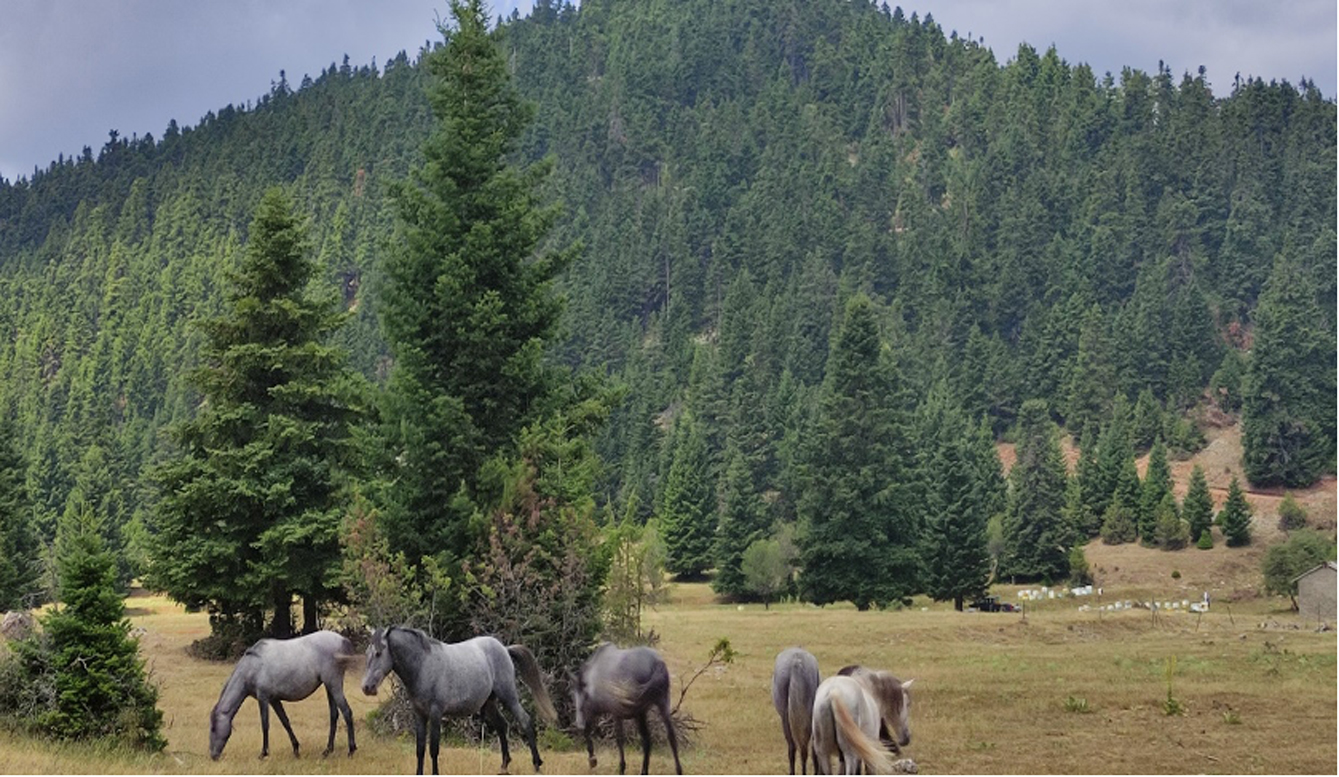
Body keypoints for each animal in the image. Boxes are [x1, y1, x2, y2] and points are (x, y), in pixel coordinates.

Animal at [207, 632, 358, 760]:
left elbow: (265, 724)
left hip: (334, 684)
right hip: (329, 686)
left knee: (346, 712)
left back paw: (351, 750)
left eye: (213, 728)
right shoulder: (274, 700)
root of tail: (342, 640)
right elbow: (285, 722)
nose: (213, 756)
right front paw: (296, 750)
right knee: (334, 715)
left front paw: (263, 753)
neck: (252, 666)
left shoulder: (263, 698)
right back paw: (327, 750)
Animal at [358, 626, 557, 771]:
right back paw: (504, 766)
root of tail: (504, 649)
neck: (423, 665)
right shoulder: (419, 714)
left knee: (525, 721)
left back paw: (537, 764)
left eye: (378, 653)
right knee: (502, 726)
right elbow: (420, 749)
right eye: (367, 653)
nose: (367, 688)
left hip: (508, 696)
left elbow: (434, 749)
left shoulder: (436, 713)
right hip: (489, 703)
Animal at [570, 640, 685, 771]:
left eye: (582, 696)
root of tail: (657, 663)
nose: (579, 723)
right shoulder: (637, 714)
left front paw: (618, 766)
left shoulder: (615, 714)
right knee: (669, 737)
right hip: (661, 705)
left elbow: (618, 739)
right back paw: (675, 770)